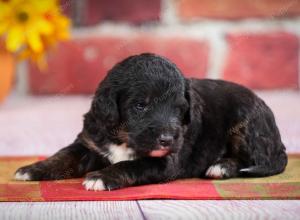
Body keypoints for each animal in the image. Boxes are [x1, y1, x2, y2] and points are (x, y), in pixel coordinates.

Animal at [14, 52, 288, 191]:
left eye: (180, 109)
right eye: (140, 105)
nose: (166, 139)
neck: (123, 136)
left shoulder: (166, 160)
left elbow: (132, 165)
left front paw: (101, 176)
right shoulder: (89, 142)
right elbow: (64, 156)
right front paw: (31, 169)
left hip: (245, 123)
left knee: (253, 160)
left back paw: (221, 166)